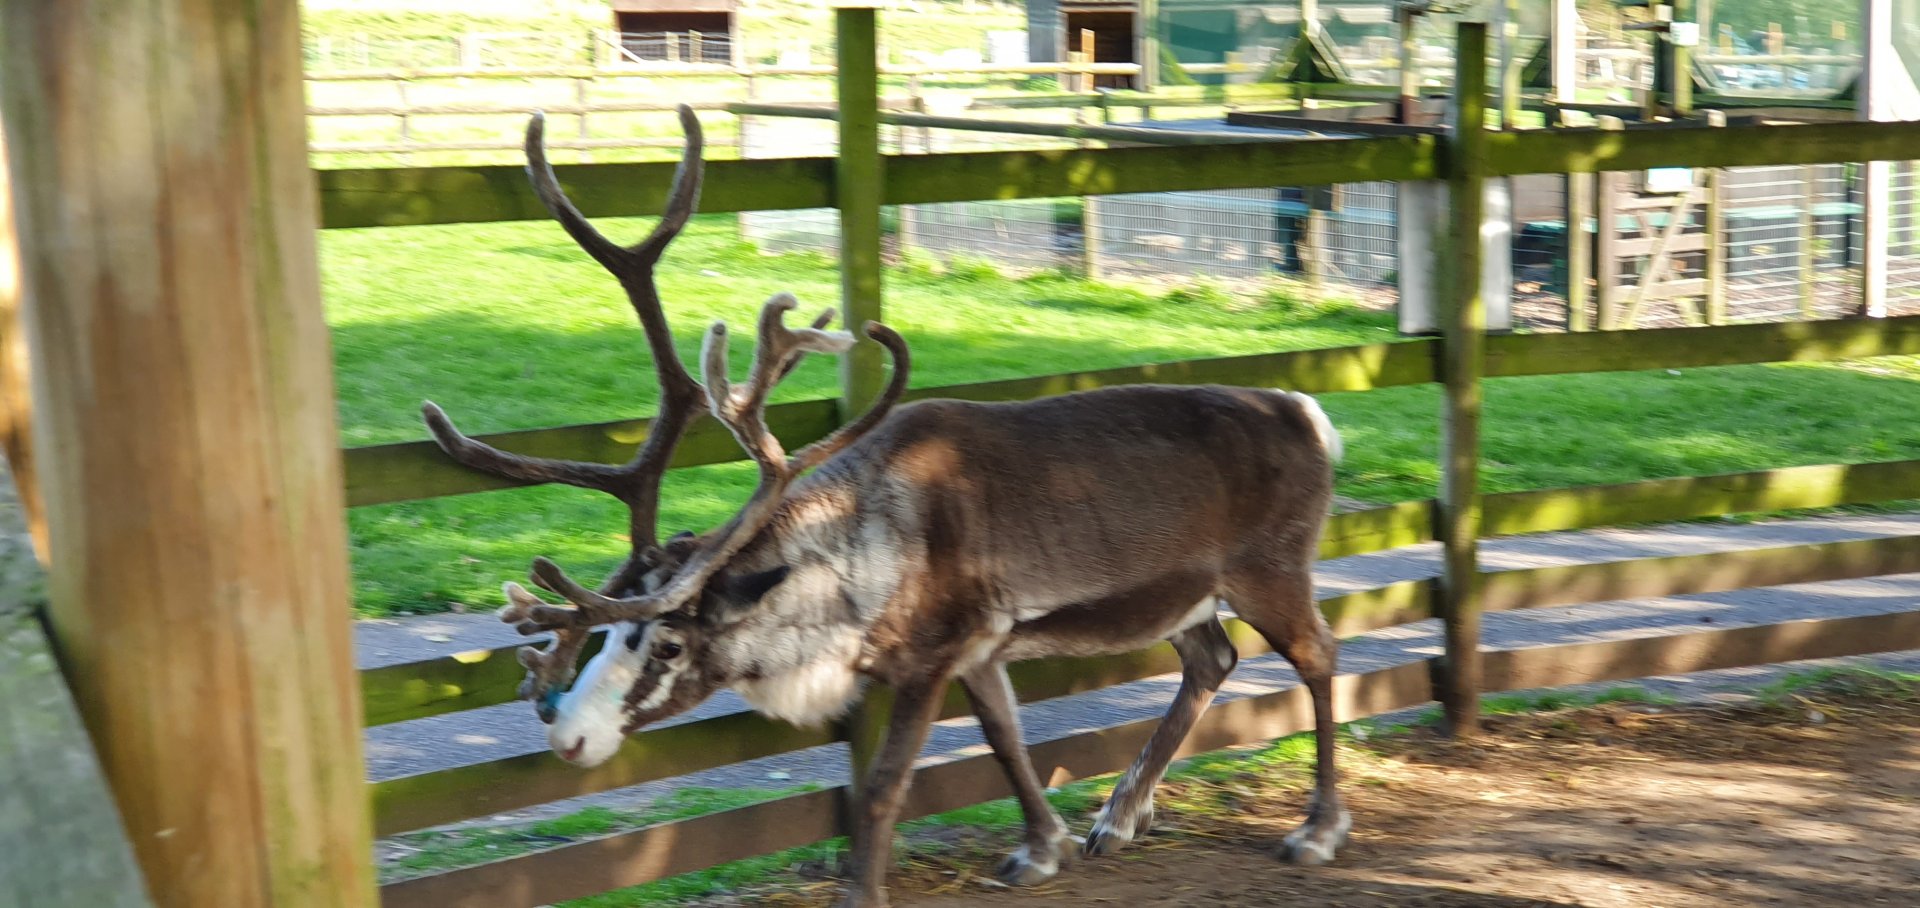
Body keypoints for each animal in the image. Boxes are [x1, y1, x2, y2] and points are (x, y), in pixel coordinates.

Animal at [419, 106, 1350, 908]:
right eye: (612, 632)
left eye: (670, 643)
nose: (568, 737)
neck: (851, 572)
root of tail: (1308, 413)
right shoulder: (982, 645)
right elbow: (1006, 738)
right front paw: (1042, 847)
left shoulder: (930, 654)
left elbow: (882, 786)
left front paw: (864, 890)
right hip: (1185, 593)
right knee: (1212, 659)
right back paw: (1120, 816)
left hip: (1270, 569)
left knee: (1317, 655)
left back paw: (1316, 829)